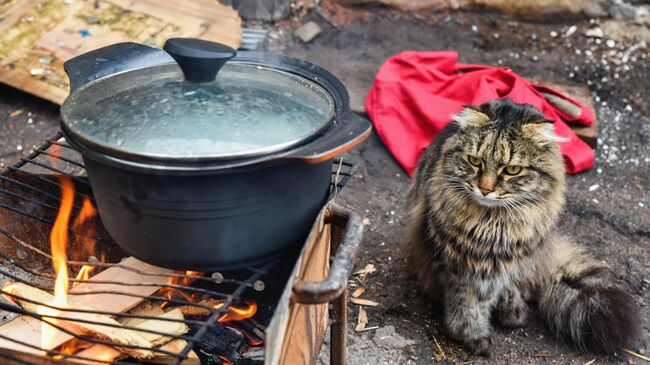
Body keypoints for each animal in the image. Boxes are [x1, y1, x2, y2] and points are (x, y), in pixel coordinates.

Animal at [404, 98, 636, 354]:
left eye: (512, 170)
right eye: (475, 161)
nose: (485, 189)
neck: (492, 224)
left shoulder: (506, 258)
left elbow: (495, 289)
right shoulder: (455, 260)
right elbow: (468, 302)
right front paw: (470, 333)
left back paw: (512, 308)